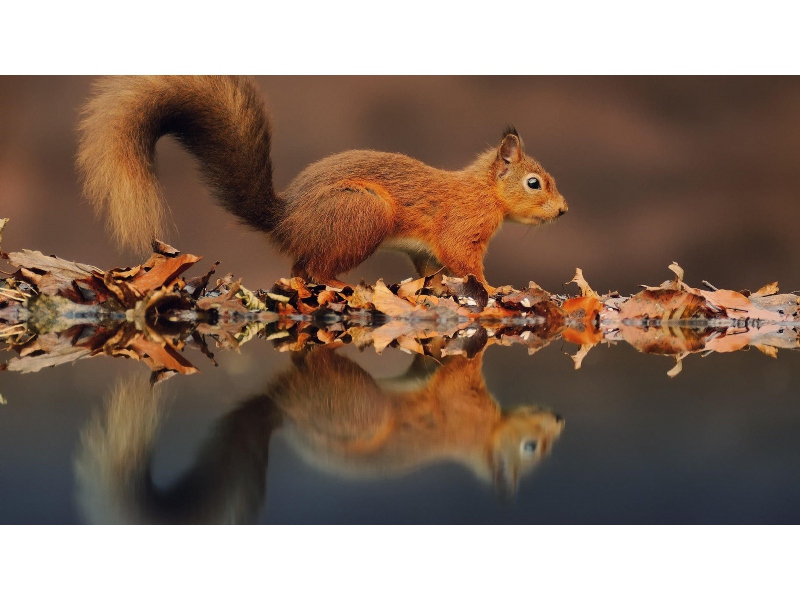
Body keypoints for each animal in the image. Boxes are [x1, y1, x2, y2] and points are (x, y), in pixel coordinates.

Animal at [73, 75, 564, 288]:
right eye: (534, 183)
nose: (563, 211)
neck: (484, 192)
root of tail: (287, 221)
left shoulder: (427, 251)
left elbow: (432, 268)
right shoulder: (461, 228)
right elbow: (465, 262)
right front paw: (494, 290)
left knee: (300, 269)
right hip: (362, 214)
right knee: (316, 270)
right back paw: (340, 287)